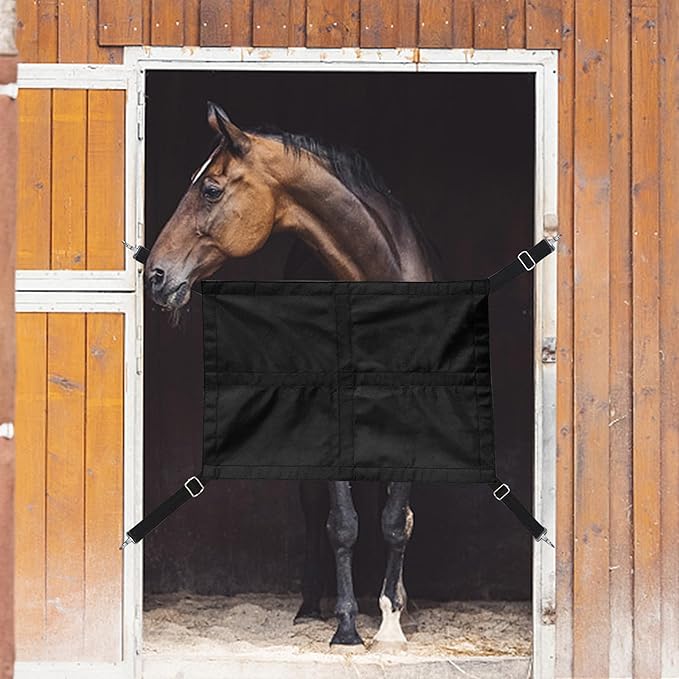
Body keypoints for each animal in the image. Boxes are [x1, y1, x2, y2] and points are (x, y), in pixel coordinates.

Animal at [145, 101, 440, 647]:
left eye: (211, 189)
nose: (156, 274)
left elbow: (396, 520)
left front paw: (391, 620)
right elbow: (342, 523)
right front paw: (346, 625)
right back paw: (310, 607)